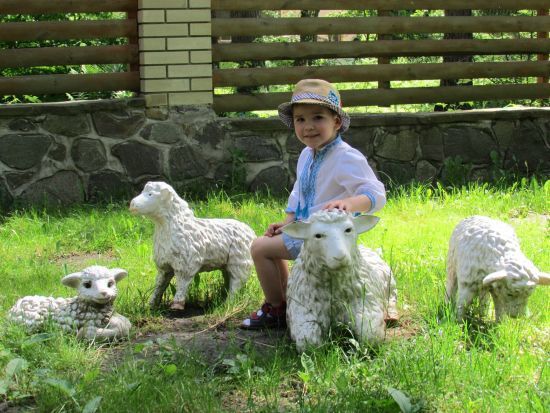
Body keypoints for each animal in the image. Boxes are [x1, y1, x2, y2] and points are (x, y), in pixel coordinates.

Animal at [129, 181, 256, 311]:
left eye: (150, 194)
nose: (132, 204)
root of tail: (251, 232)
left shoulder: (185, 264)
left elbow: (182, 283)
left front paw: (177, 305)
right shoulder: (164, 265)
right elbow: (159, 285)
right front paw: (152, 304)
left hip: (239, 261)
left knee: (237, 282)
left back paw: (228, 303)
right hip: (227, 264)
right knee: (230, 280)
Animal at [281, 209, 397, 352]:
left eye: (348, 230)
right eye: (317, 235)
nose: (340, 257)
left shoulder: (367, 303)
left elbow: (371, 335)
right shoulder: (303, 309)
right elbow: (308, 342)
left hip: (390, 284)